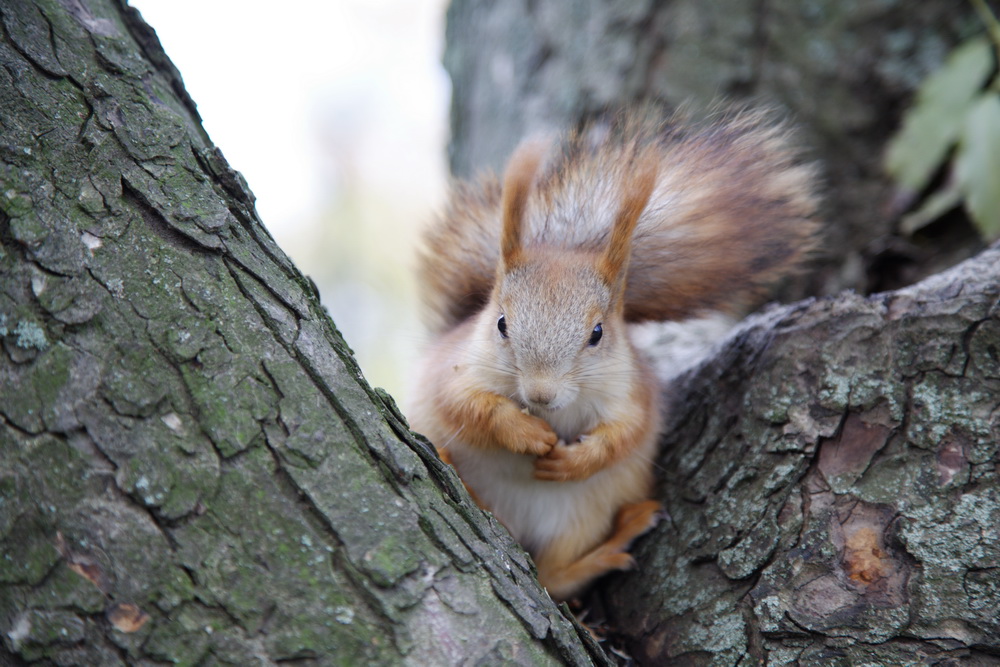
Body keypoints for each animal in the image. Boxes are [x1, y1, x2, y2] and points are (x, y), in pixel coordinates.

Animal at [406, 109, 820, 600]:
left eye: (598, 333)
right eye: (501, 324)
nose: (541, 395)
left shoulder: (630, 390)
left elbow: (625, 433)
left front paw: (573, 459)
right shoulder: (454, 371)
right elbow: (467, 406)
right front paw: (525, 432)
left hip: (582, 517)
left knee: (553, 577)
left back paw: (611, 545)